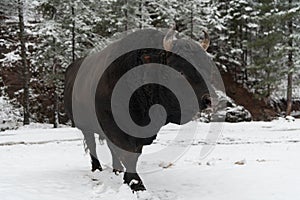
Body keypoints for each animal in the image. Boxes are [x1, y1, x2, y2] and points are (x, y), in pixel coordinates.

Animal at [63, 28, 216, 191]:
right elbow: (128, 155)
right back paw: (97, 168)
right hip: (85, 126)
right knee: (92, 146)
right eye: (180, 71)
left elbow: (132, 154)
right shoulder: (115, 127)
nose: (207, 100)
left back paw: (117, 170)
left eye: (207, 69)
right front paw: (136, 184)